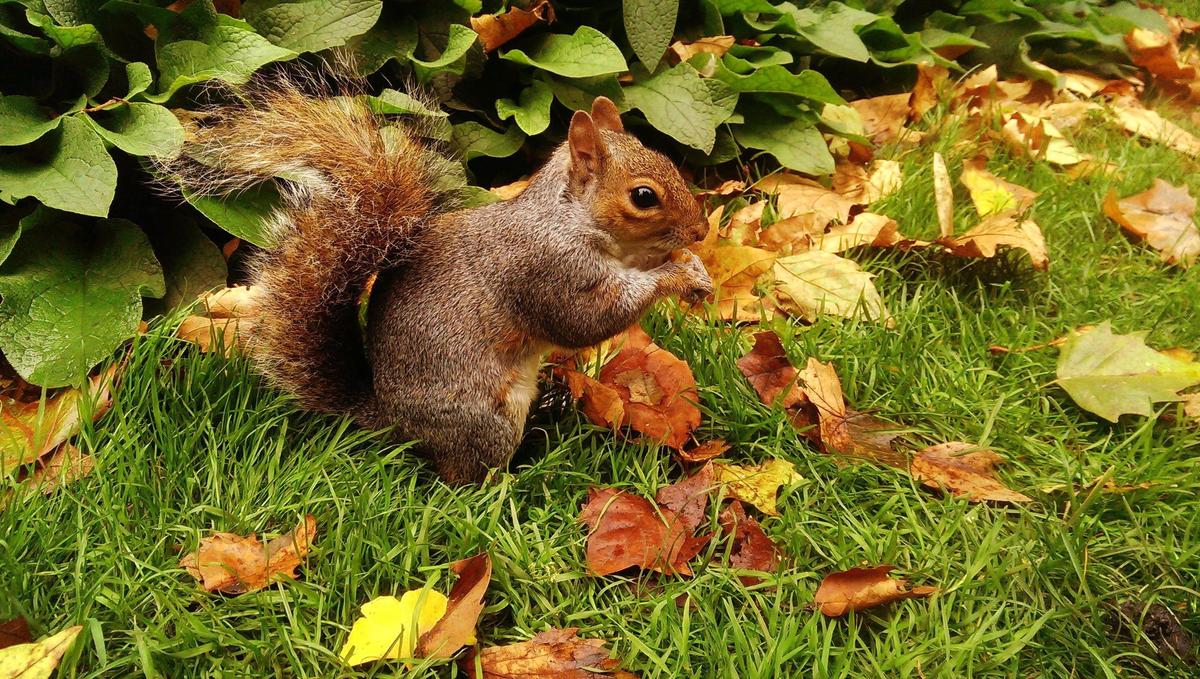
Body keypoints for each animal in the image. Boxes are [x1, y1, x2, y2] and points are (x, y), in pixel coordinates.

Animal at [168, 78, 710, 484]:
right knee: (464, 480)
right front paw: (676, 274)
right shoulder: (546, 271)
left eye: (665, 158)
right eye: (643, 196)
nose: (702, 231)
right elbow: (586, 322)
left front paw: (694, 268)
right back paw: (519, 474)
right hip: (483, 419)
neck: (569, 219)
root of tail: (393, 424)